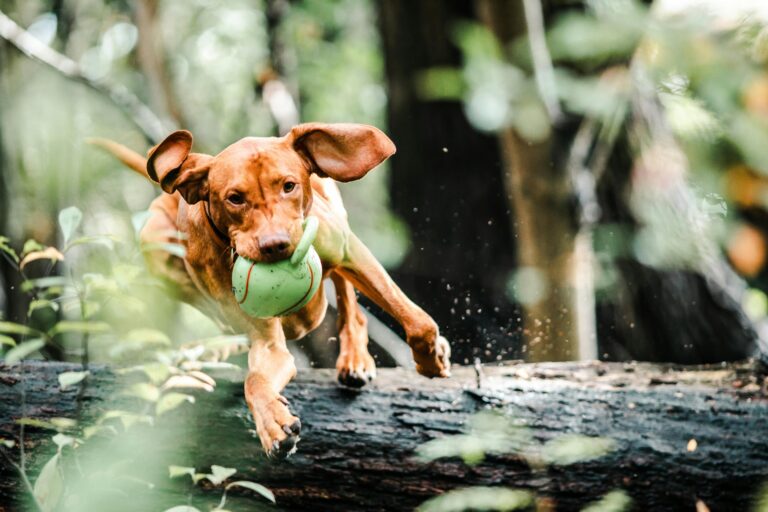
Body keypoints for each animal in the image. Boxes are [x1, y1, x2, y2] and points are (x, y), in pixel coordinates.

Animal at [99, 123, 452, 456]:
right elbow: (255, 378)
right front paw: (272, 423)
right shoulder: (266, 341)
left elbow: (417, 321)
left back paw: (355, 358)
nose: (276, 245)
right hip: (155, 243)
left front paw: (431, 358)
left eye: (288, 186)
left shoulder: (348, 251)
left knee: (347, 296)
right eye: (235, 197)